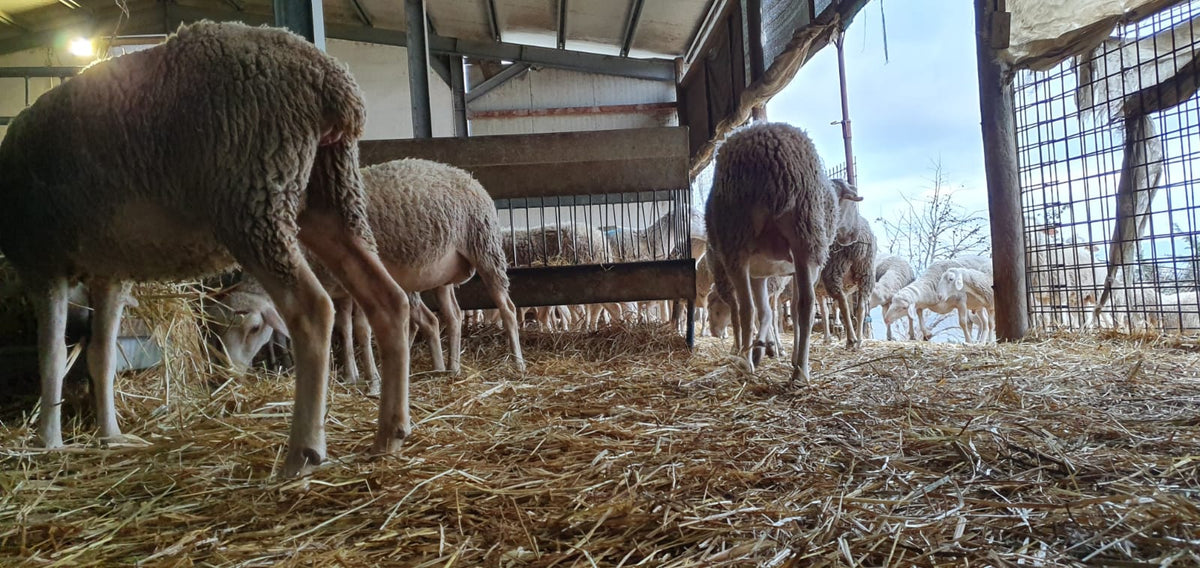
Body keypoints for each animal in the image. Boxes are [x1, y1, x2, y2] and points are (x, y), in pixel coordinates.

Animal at [0, 21, 411, 477]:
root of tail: (332, 83)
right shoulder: (110, 271)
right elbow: (100, 356)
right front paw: (111, 437)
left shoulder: (42, 262)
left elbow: (52, 358)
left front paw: (48, 444)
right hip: (328, 195)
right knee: (389, 299)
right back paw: (388, 436)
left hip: (253, 196)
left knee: (314, 309)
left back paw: (302, 453)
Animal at [705, 122, 864, 384]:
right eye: (850, 205)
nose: (853, 236)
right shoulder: (796, 268)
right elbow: (791, 311)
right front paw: (784, 354)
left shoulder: (760, 272)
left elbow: (764, 311)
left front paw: (762, 349)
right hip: (806, 238)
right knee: (805, 306)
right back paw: (800, 371)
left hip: (735, 243)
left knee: (747, 309)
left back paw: (748, 362)